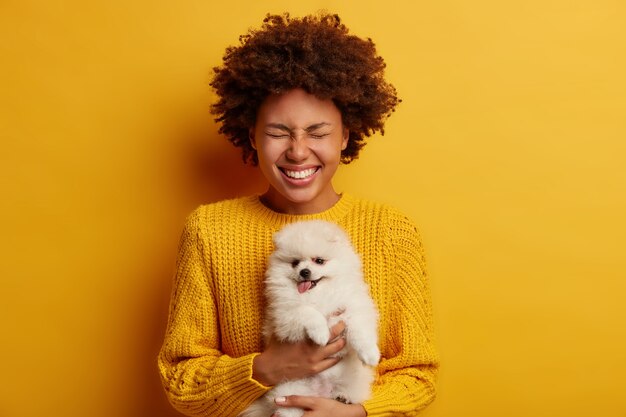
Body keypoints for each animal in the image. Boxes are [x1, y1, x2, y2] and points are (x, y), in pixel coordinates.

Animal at [238, 219, 376, 414]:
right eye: (295, 263)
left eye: (319, 261)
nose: (304, 271)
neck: (318, 293)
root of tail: (323, 391)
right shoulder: (284, 315)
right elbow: (307, 311)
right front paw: (321, 334)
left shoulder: (352, 306)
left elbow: (360, 331)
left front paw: (370, 354)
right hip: (291, 391)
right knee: (287, 408)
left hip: (352, 380)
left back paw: (343, 397)